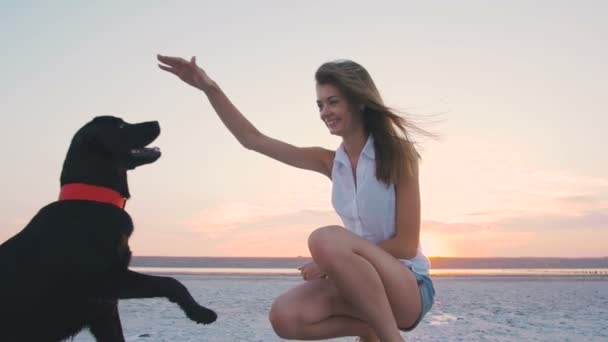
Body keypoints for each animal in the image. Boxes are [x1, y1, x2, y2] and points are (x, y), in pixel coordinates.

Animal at [0, 116, 218, 340]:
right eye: (121, 126)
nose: (156, 122)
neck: (94, 199)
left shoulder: (105, 310)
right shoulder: (104, 281)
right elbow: (170, 282)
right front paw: (199, 312)